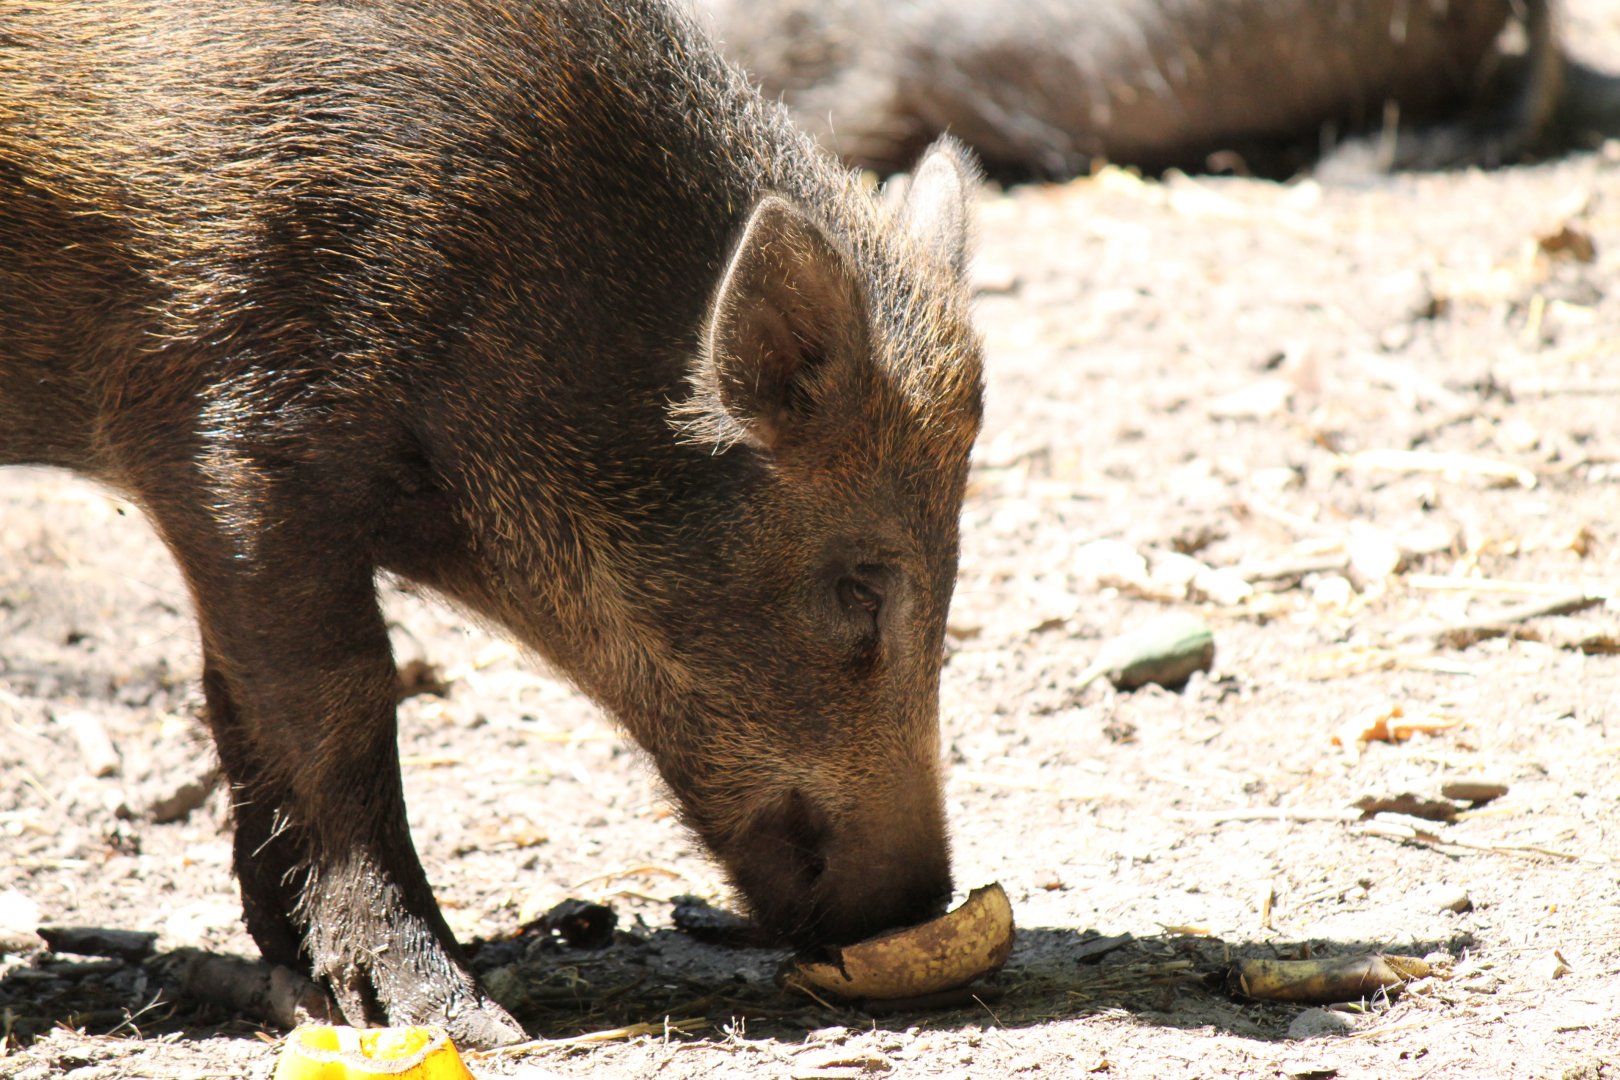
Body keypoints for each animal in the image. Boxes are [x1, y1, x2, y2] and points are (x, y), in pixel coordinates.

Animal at [0, 0, 984, 1047]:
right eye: (860, 586)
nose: (920, 904)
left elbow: (234, 698)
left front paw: (297, 972)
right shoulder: (233, 444)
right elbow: (340, 700)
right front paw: (460, 1021)